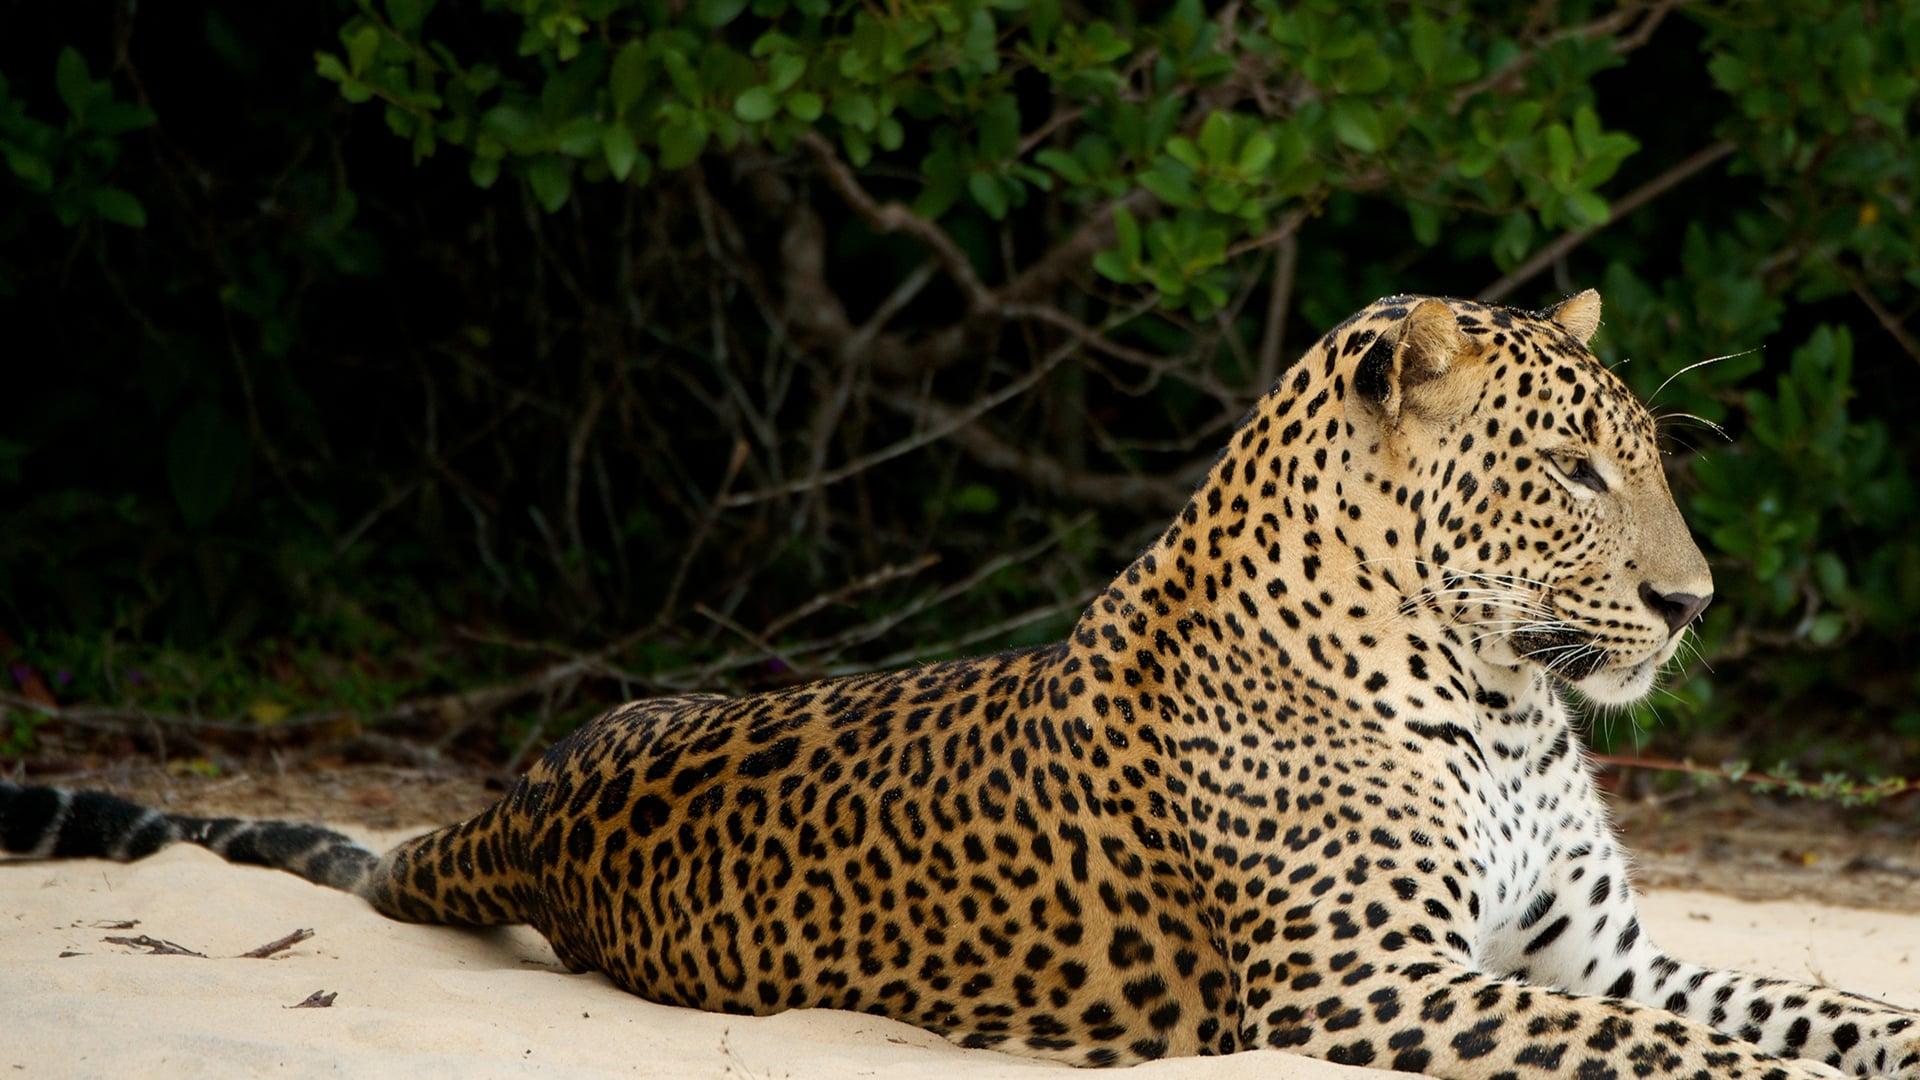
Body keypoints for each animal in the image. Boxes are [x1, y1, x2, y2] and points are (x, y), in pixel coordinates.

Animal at [3, 290, 1920, 1068]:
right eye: (1577, 474)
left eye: (1643, 461)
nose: (1691, 601)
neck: (1503, 711)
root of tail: (521, 806)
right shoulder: (1361, 994)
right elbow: (1678, 1057)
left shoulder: (1598, 949)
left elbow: (1792, 1007)